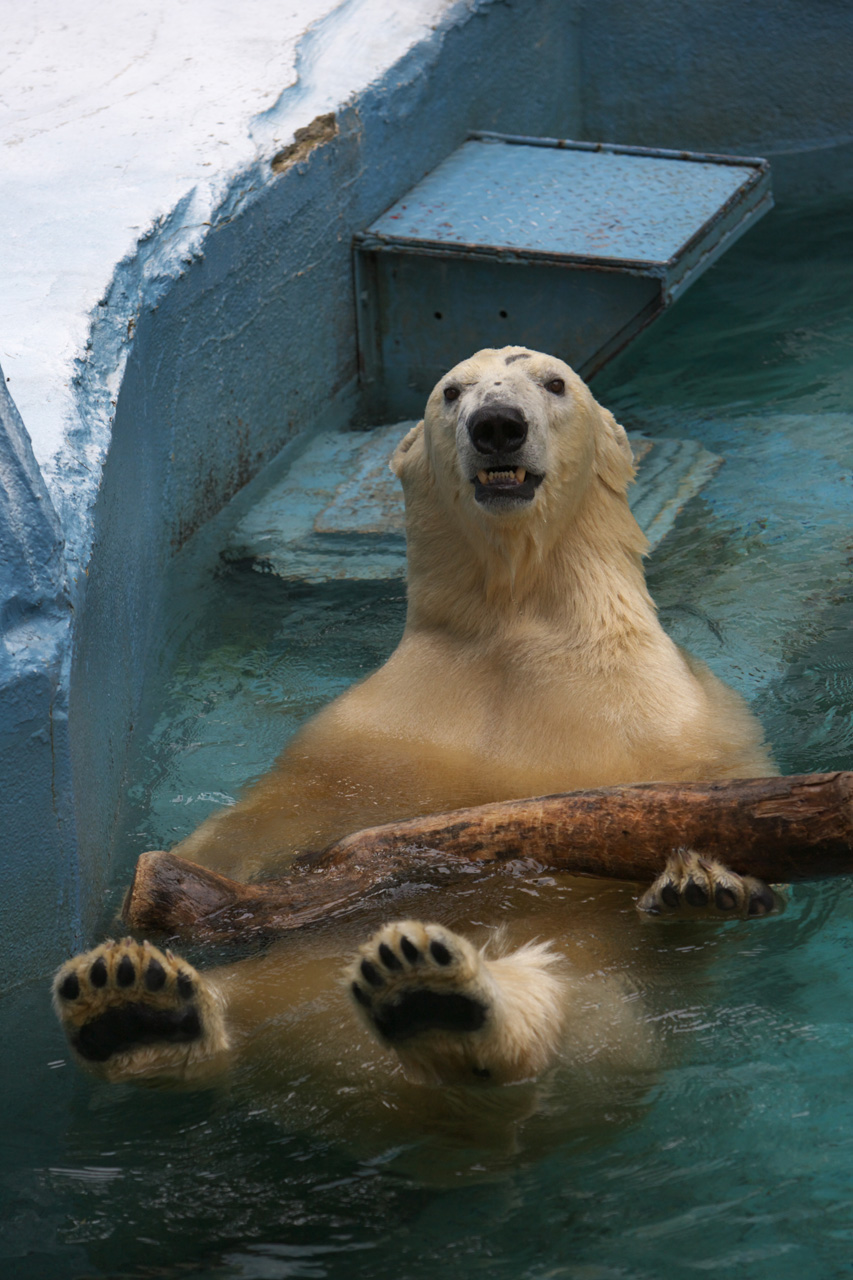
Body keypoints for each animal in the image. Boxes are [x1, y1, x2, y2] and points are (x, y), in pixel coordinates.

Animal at [49, 350, 773, 1100]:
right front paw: (167, 884)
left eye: (554, 383)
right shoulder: (379, 724)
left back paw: (433, 998)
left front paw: (702, 882)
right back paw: (135, 1000)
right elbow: (287, 801)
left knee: (566, 995)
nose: (497, 425)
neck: (518, 626)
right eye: (452, 392)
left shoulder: (678, 713)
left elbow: (713, 800)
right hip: (297, 975)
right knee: (253, 990)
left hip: (600, 996)